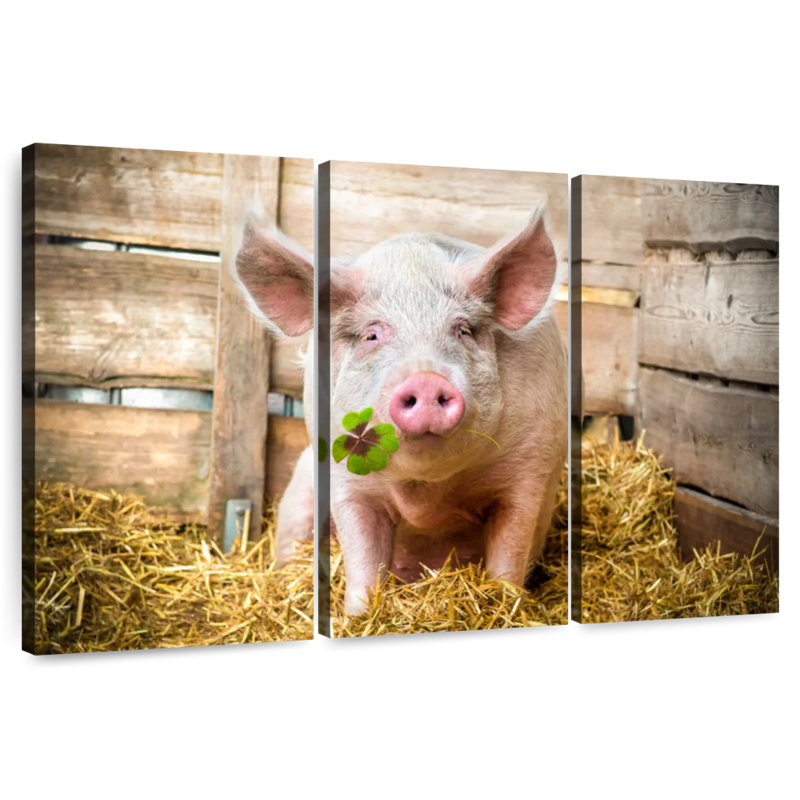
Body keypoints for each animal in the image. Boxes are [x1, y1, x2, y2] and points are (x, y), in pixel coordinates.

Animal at [330, 207, 567, 615]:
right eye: (372, 335)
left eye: (463, 331)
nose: (426, 379)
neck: (426, 492)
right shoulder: (343, 479)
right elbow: (361, 560)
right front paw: (357, 616)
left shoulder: (530, 469)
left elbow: (510, 551)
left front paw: (505, 603)